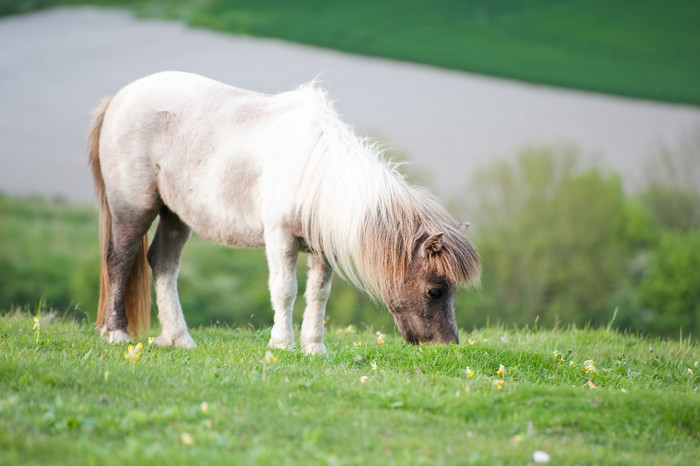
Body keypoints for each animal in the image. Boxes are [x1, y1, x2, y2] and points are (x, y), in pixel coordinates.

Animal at [87, 71, 482, 354]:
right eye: (434, 291)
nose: (446, 346)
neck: (316, 174)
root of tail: (118, 99)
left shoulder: (321, 248)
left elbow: (318, 295)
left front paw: (314, 348)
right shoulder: (279, 238)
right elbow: (285, 290)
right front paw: (282, 344)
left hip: (175, 215)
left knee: (163, 264)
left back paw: (178, 338)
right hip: (133, 208)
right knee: (119, 260)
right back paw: (118, 334)